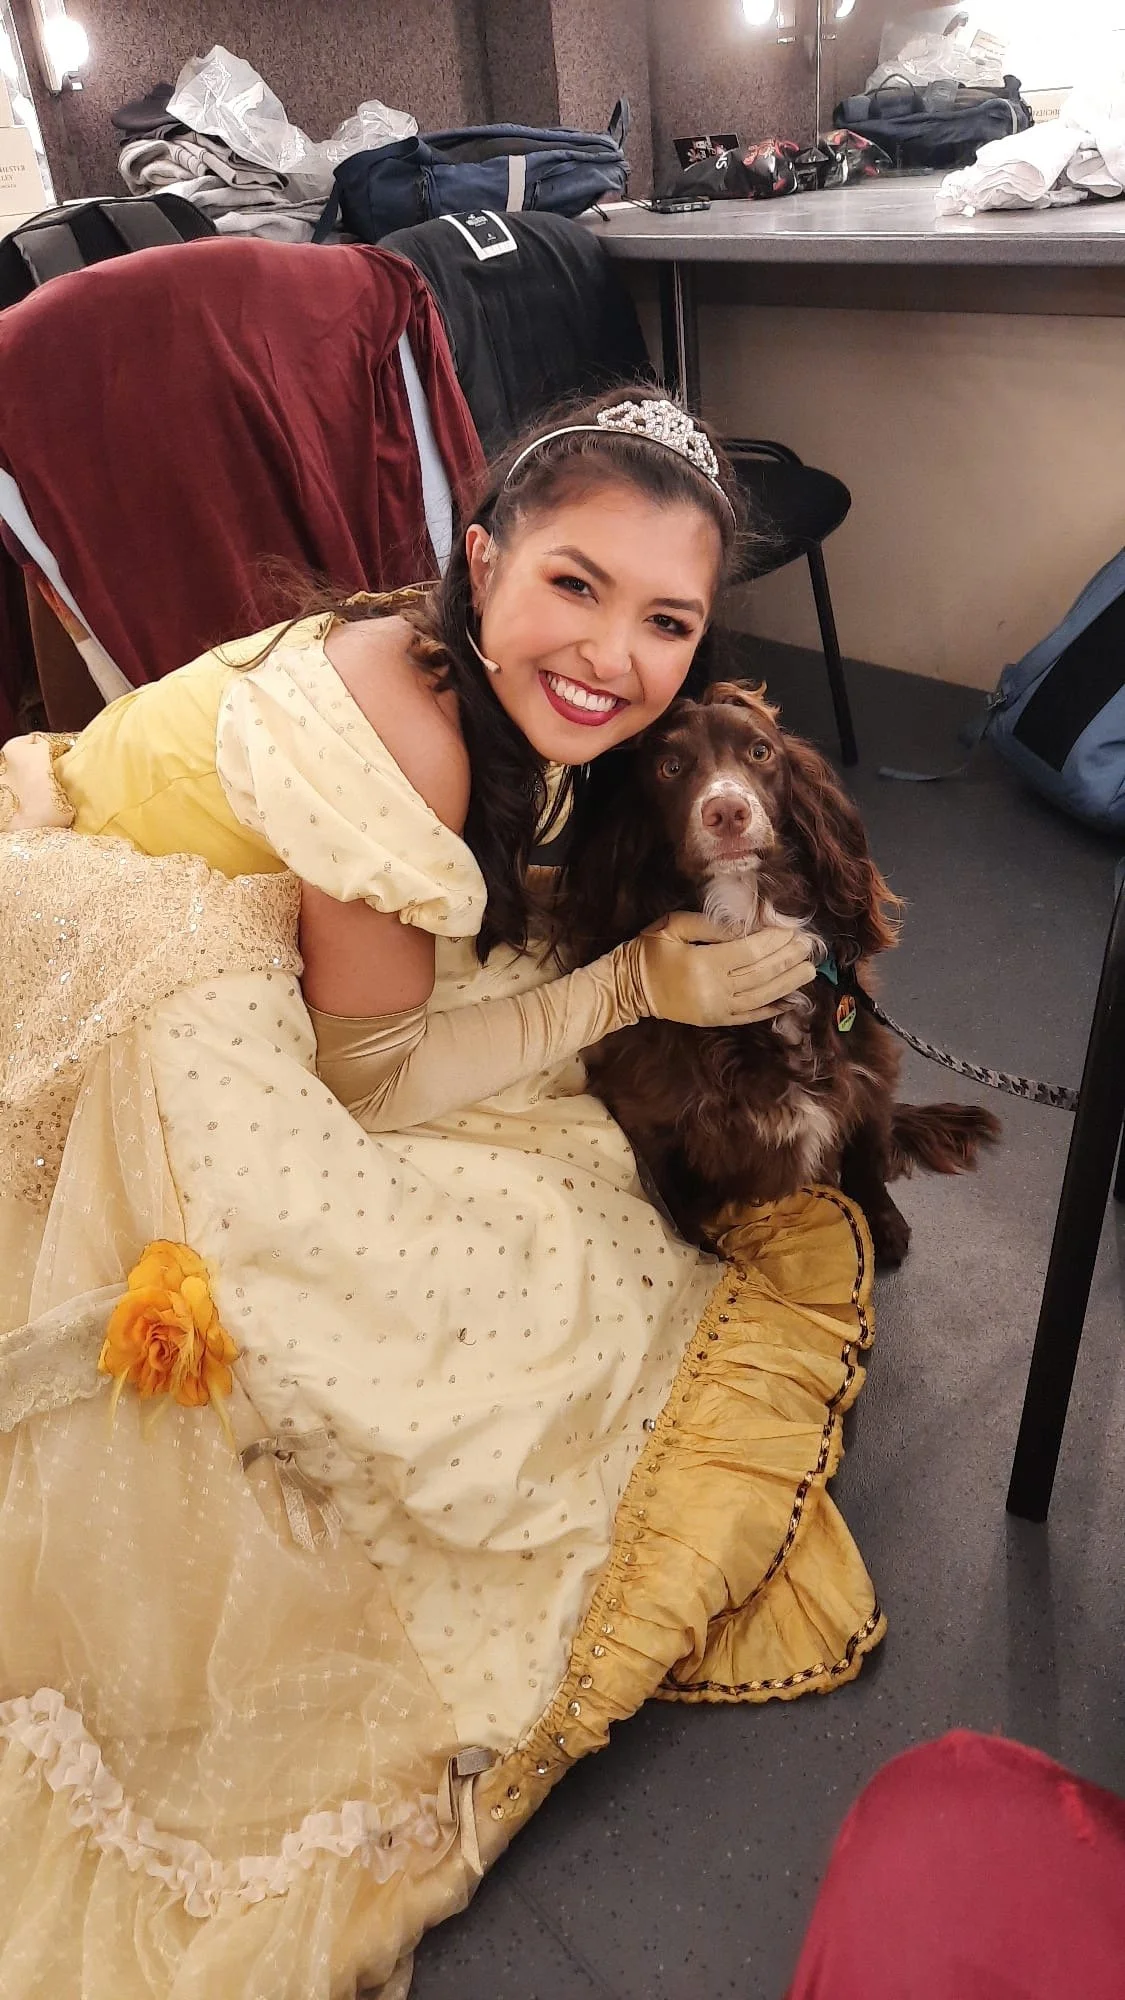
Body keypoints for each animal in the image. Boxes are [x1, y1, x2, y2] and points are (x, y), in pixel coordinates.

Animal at [556, 682, 1000, 1266]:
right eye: (670, 768)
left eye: (760, 752)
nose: (727, 811)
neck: (749, 915)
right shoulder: (646, 1113)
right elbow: (675, 1206)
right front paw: (709, 1259)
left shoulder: (869, 1063)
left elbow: (866, 1152)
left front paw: (883, 1224)